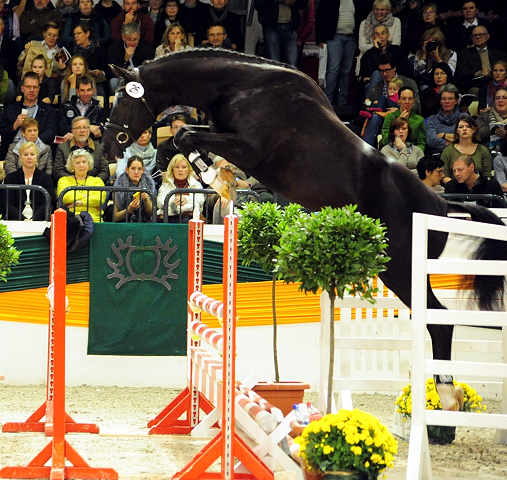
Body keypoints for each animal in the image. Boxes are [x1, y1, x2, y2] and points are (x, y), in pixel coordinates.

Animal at [104, 48, 507, 406]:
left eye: (122, 102)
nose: (109, 146)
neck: (241, 87)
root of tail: (439, 205)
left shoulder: (250, 149)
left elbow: (185, 135)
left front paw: (215, 177)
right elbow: (183, 133)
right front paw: (218, 177)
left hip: (402, 269)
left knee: (439, 321)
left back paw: (447, 396)